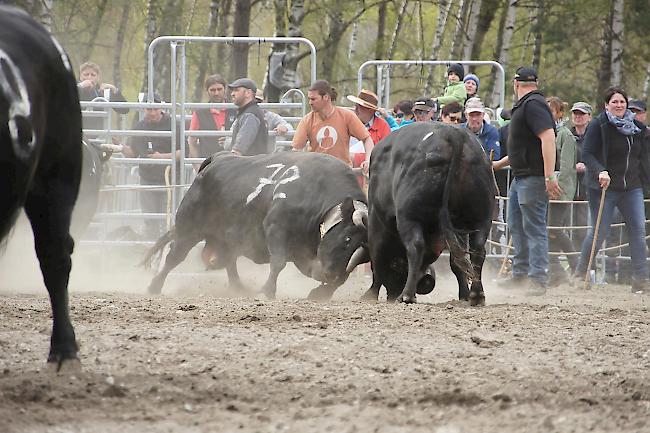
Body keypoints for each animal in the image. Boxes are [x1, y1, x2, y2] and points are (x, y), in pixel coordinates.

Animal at [146, 151, 370, 296]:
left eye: (363, 258)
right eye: (347, 239)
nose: (332, 276)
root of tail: (217, 159)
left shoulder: (304, 251)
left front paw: (322, 291)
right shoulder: (276, 229)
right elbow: (278, 262)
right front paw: (267, 291)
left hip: (226, 238)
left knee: (229, 260)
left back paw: (238, 288)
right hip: (189, 228)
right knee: (175, 256)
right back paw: (154, 287)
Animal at [362, 121, 494, 304]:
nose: (393, 293)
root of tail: (453, 135)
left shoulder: (377, 221)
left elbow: (378, 257)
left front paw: (371, 293)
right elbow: (457, 261)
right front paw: (464, 294)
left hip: (409, 217)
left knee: (415, 247)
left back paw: (407, 295)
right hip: (481, 217)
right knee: (478, 251)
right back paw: (476, 295)